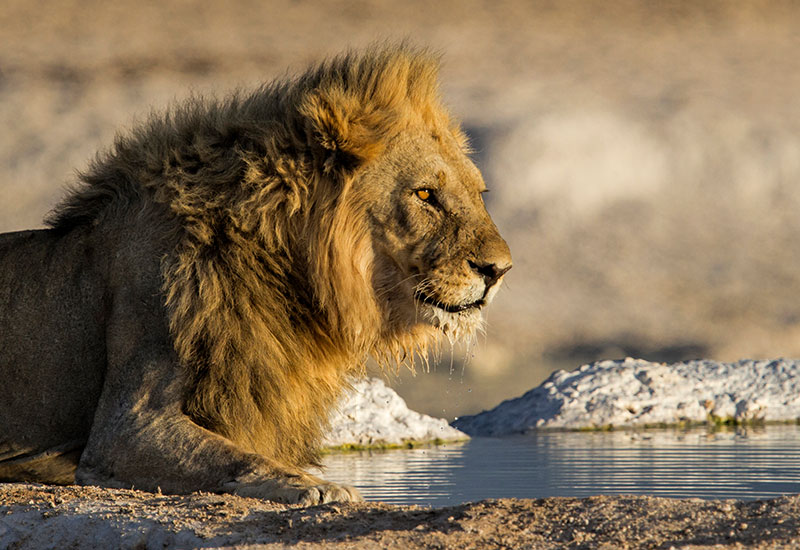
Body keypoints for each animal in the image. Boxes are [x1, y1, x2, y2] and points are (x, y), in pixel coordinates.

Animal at [0, 45, 512, 506]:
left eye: (479, 193)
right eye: (425, 194)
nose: (500, 269)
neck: (285, 269)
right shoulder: (126, 426)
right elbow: (238, 457)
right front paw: (320, 487)